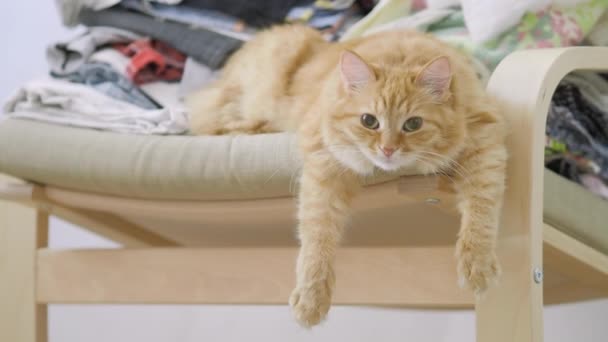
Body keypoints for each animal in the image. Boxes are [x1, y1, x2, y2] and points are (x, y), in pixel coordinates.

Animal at [190, 26, 508, 326]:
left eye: (413, 124)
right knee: (214, 123)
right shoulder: (324, 166)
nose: (388, 149)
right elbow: (316, 237)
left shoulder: (485, 141)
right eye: (369, 121)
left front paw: (477, 265)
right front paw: (311, 299)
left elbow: (481, 212)